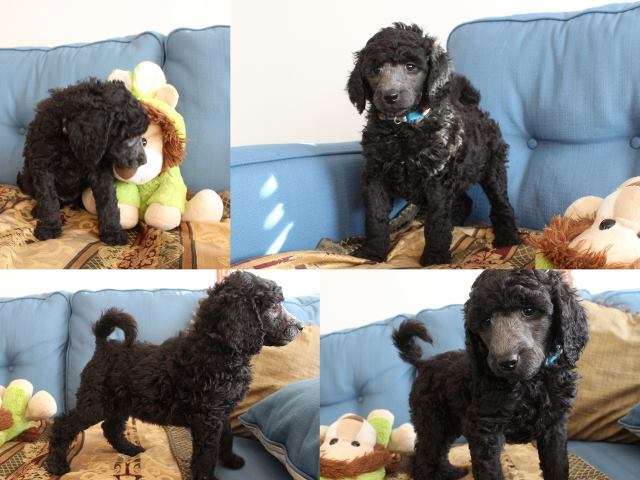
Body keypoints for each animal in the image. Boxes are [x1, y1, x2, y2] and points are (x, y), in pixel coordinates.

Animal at [18, 78, 149, 245]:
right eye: (130, 136)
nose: (144, 161)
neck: (68, 140)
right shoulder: (42, 165)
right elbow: (48, 198)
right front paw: (49, 227)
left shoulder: (100, 170)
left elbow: (108, 200)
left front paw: (112, 231)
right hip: (27, 177)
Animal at [45, 271, 303, 480]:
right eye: (273, 307)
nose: (300, 326)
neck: (219, 347)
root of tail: (104, 345)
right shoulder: (207, 416)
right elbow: (206, 455)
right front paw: (206, 476)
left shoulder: (221, 411)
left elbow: (227, 437)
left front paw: (230, 460)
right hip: (96, 401)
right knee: (63, 425)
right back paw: (56, 465)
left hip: (120, 401)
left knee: (111, 427)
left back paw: (129, 449)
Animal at [347, 23, 519, 265]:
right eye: (376, 70)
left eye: (411, 67)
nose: (390, 96)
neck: (402, 126)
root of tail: (472, 106)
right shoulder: (375, 175)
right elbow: (375, 216)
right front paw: (372, 252)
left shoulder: (438, 178)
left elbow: (436, 222)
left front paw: (435, 258)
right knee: (463, 200)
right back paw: (457, 221)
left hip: (493, 167)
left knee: (501, 202)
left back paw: (507, 236)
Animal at [393, 270, 588, 479]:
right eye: (486, 322)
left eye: (528, 310)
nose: (506, 363)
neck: (531, 382)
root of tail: (424, 363)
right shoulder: (484, 429)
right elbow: (490, 471)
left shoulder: (554, 426)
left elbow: (557, 465)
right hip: (432, 420)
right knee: (424, 457)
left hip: (448, 422)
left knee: (439, 451)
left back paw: (450, 472)